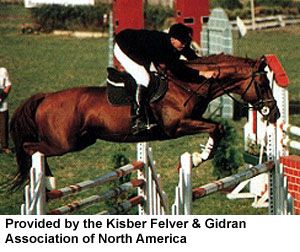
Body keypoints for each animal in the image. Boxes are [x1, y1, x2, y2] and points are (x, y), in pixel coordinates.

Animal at [9, 53, 282, 189]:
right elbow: (217, 127)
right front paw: (196, 159)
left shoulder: (191, 120)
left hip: (81, 141)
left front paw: (197, 157)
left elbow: (218, 128)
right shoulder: (177, 126)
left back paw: (46, 182)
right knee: (31, 149)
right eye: (262, 83)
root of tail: (45, 97)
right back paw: (45, 181)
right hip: (63, 143)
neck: (188, 82)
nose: (274, 113)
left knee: (34, 150)